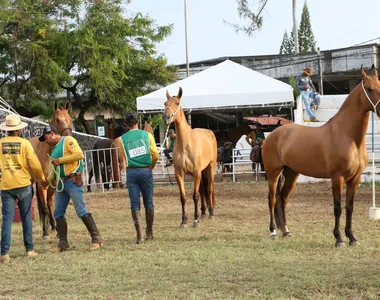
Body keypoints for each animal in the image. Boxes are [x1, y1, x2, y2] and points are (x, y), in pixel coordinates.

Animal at [29, 101, 72, 239]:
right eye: (57, 119)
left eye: (70, 119)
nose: (68, 136)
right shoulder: (42, 185)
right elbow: (44, 208)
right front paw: (47, 232)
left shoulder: (53, 184)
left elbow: (50, 204)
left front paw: (56, 228)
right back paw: (46, 230)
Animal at [163, 87, 217, 227]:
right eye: (165, 103)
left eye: (177, 103)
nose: (166, 117)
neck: (185, 144)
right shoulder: (179, 174)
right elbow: (183, 197)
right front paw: (184, 220)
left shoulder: (196, 172)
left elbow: (195, 195)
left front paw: (195, 220)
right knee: (203, 190)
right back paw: (203, 212)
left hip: (210, 168)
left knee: (209, 188)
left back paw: (211, 213)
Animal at [262, 65, 380, 246]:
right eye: (369, 88)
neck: (348, 136)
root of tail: (273, 134)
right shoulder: (337, 178)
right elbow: (337, 208)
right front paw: (339, 239)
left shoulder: (355, 179)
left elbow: (350, 208)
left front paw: (352, 238)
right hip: (273, 173)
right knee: (272, 199)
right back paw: (273, 231)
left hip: (291, 173)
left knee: (283, 199)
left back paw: (286, 231)